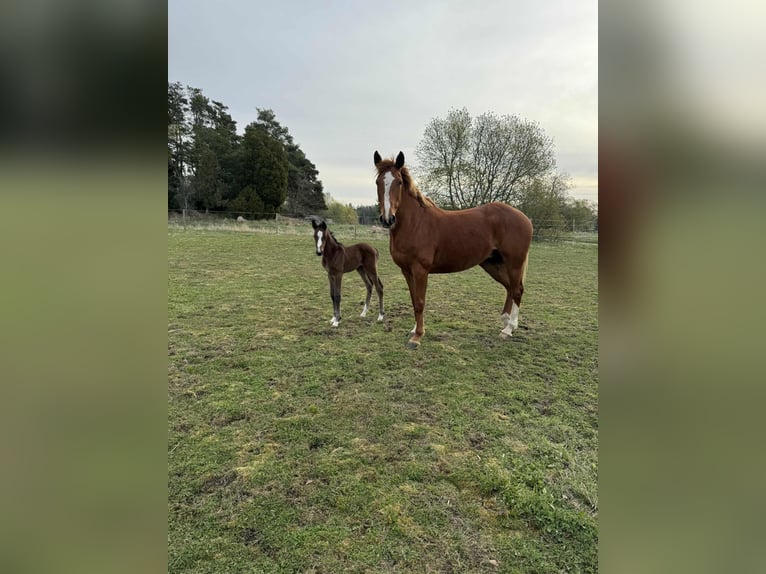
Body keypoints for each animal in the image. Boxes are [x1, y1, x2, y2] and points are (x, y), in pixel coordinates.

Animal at [373, 151, 533, 348]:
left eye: (399, 182)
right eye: (378, 182)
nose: (388, 219)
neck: (415, 224)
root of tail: (525, 219)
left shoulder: (420, 270)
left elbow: (420, 301)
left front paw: (417, 336)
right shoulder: (406, 271)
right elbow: (413, 299)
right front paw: (414, 329)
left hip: (514, 263)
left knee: (517, 290)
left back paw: (508, 329)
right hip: (492, 263)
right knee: (510, 287)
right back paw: (505, 321)